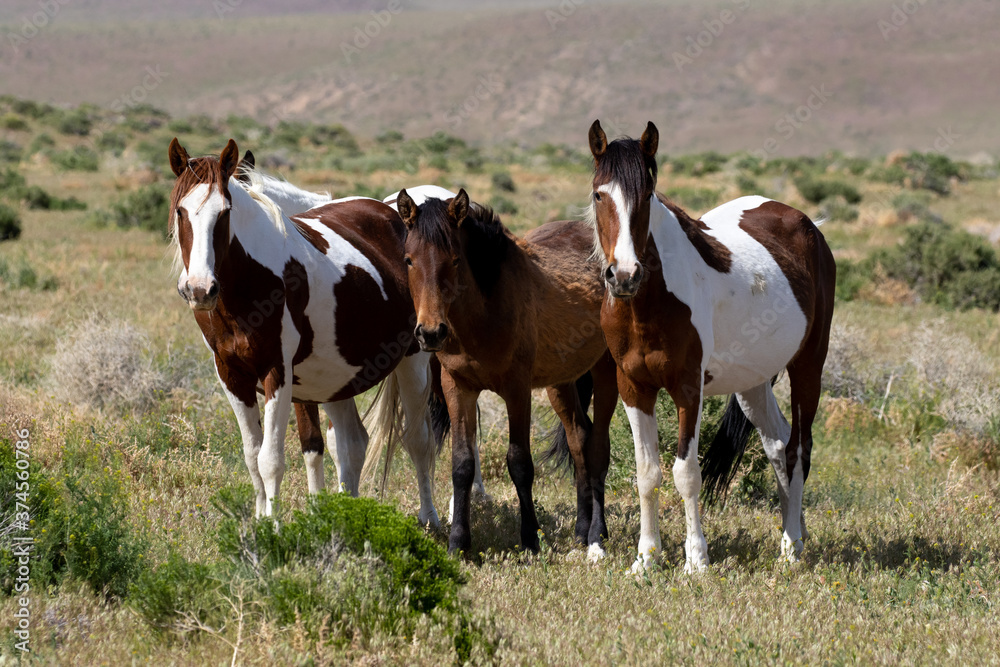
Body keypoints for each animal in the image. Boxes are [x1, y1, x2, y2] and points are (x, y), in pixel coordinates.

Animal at [167, 138, 441, 526]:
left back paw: (429, 518)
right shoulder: (232, 375)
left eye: (225, 213)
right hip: (339, 378)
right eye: (181, 211)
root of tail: (390, 213)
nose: (200, 289)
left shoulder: (277, 372)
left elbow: (271, 460)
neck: (251, 279)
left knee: (418, 440)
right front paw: (261, 521)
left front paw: (274, 527)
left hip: (413, 362)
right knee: (353, 443)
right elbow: (255, 456)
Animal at [372, 188, 618, 557]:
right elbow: (462, 464)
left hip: (605, 373)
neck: (484, 313)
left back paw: (597, 536)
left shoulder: (517, 390)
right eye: (409, 260)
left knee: (599, 447)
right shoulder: (457, 388)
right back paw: (580, 531)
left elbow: (519, 463)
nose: (430, 333)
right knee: (579, 439)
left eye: (455, 260)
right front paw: (458, 543)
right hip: (561, 383)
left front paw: (530, 539)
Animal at [585, 120, 835, 572]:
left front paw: (696, 560)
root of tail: (809, 225)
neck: (648, 303)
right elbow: (647, 472)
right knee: (777, 446)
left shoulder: (688, 389)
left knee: (798, 448)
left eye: (646, 196)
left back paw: (791, 547)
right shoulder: (633, 387)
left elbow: (686, 473)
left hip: (808, 366)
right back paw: (794, 532)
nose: (624, 275)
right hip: (753, 382)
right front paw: (645, 558)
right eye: (600, 194)